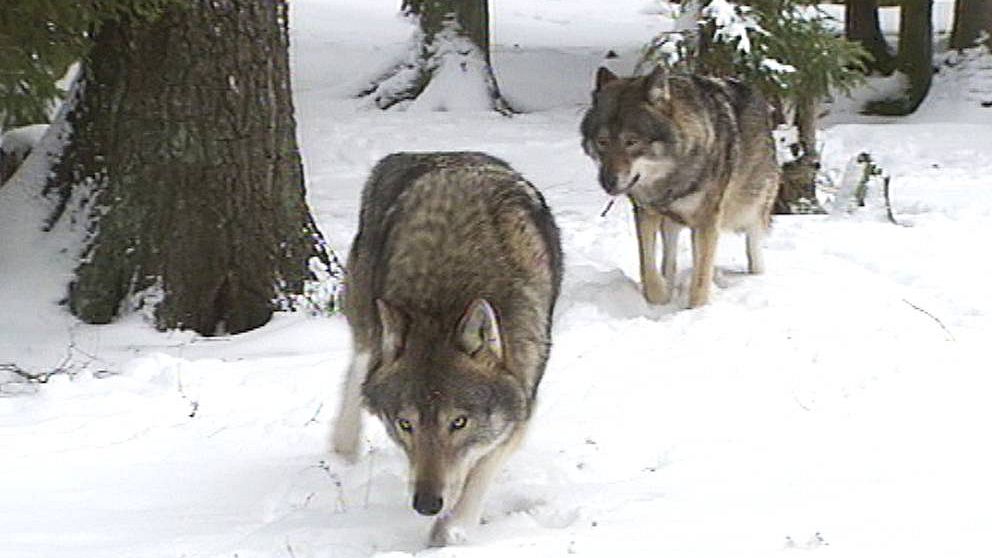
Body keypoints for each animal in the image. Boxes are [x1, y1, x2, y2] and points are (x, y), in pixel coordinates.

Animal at [332, 152, 560, 548]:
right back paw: (343, 448)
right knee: (359, 369)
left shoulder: (524, 395)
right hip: (366, 312)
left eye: (459, 422)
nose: (425, 504)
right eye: (405, 424)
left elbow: (482, 468)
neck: (443, 303)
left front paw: (451, 530)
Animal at [576, 67, 780, 308]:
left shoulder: (707, 221)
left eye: (631, 142)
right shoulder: (645, 212)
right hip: (672, 223)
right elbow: (648, 268)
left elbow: (700, 279)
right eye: (602, 142)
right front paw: (660, 297)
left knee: (754, 247)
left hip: (749, 208)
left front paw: (696, 311)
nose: (609, 182)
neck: (669, 179)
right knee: (669, 258)